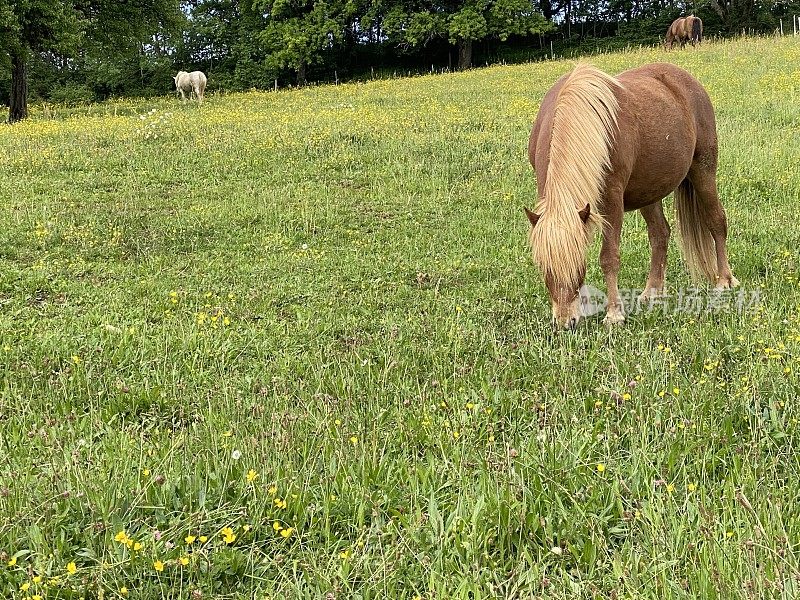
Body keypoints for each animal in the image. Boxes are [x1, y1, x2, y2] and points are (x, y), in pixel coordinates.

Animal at [524, 62, 736, 328]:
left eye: (579, 266)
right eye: (544, 268)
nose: (565, 322)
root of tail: (688, 81)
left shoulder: (611, 201)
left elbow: (609, 257)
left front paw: (614, 314)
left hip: (703, 171)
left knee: (716, 220)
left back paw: (724, 280)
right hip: (650, 191)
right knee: (660, 234)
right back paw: (652, 291)